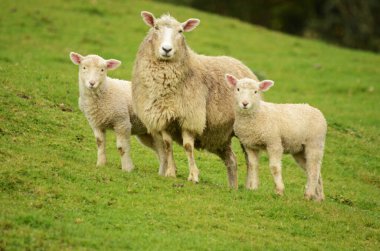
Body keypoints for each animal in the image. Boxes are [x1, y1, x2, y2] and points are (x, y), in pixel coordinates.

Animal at [131, 11, 258, 188]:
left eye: (181, 31)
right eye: (156, 27)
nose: (166, 49)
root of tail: (241, 64)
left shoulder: (190, 117)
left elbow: (187, 146)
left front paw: (193, 176)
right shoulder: (163, 118)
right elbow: (168, 145)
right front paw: (170, 173)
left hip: (246, 128)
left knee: (250, 159)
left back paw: (250, 187)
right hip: (219, 136)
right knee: (232, 160)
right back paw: (233, 188)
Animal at [226, 73, 326, 201]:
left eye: (255, 91)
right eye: (238, 89)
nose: (244, 104)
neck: (256, 115)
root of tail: (316, 110)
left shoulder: (273, 142)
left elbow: (274, 167)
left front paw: (279, 191)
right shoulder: (250, 145)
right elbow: (253, 165)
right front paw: (253, 189)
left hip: (315, 143)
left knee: (313, 169)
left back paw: (308, 195)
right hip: (299, 149)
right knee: (313, 170)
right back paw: (318, 198)